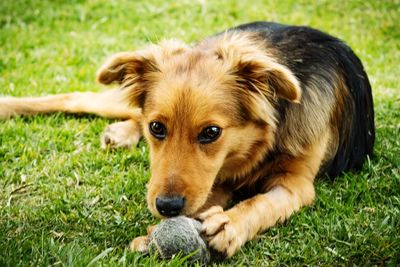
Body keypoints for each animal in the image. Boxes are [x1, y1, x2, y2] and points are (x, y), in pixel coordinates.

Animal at [0, 22, 376, 258]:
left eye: (211, 133)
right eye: (157, 128)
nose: (167, 207)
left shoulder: (297, 184)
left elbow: (261, 203)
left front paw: (229, 224)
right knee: (79, 98)